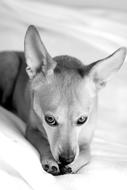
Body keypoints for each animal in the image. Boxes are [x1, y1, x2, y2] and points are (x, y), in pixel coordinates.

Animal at [0, 25, 126, 175]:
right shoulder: (32, 130)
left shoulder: (86, 143)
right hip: (11, 62)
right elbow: (44, 143)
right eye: (50, 119)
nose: (67, 159)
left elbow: (86, 153)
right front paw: (50, 161)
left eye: (82, 119)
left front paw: (72, 166)